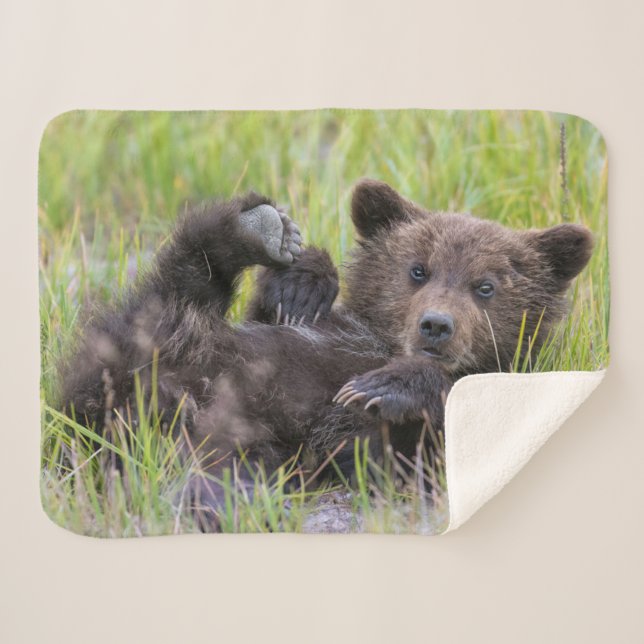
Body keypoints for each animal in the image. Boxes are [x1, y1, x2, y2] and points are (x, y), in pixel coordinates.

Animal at [59, 179, 593, 520]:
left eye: (485, 286)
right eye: (417, 269)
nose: (436, 325)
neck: (380, 342)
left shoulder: (394, 448)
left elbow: (431, 437)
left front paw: (383, 386)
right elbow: (279, 313)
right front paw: (302, 283)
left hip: (243, 439)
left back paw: (220, 500)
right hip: (149, 350)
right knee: (173, 291)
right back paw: (253, 228)